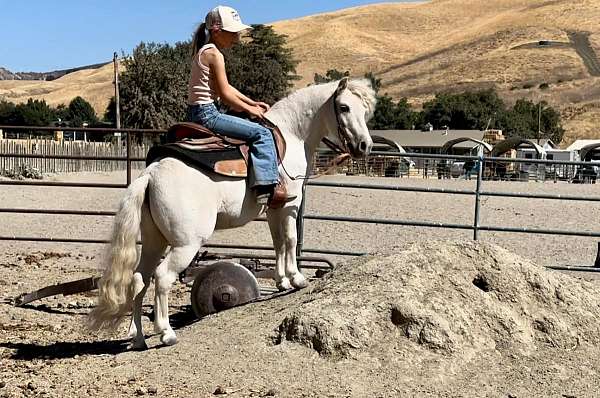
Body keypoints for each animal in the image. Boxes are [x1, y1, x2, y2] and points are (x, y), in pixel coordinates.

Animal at [88, 77, 376, 348]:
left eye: (364, 110)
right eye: (344, 107)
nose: (365, 146)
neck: (292, 133)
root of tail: (151, 173)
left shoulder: (274, 208)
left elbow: (278, 242)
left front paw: (282, 281)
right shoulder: (290, 204)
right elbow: (291, 239)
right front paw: (297, 279)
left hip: (153, 241)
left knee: (140, 280)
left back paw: (138, 337)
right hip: (185, 244)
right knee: (162, 278)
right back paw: (166, 333)